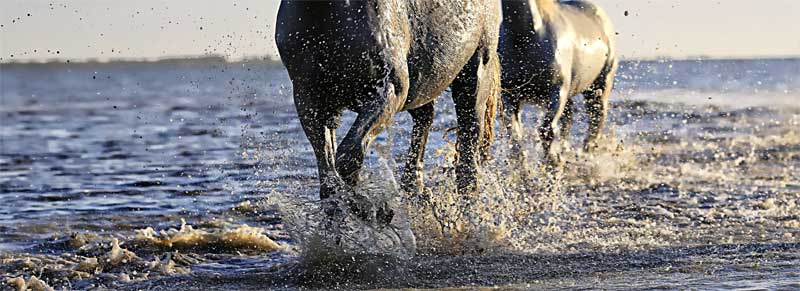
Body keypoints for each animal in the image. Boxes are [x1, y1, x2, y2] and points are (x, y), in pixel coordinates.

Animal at [276, 0, 500, 224]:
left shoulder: (389, 90)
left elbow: (349, 154)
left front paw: (365, 208)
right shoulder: (310, 100)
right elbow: (328, 168)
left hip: (475, 76)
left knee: (468, 151)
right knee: (425, 120)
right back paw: (416, 191)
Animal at [500, 0, 620, 171]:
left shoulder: (557, 92)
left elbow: (546, 130)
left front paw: (553, 163)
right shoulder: (509, 96)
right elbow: (515, 136)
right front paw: (524, 171)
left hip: (599, 88)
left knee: (596, 121)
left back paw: (585, 156)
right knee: (568, 121)